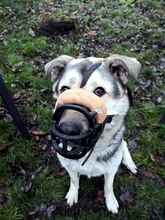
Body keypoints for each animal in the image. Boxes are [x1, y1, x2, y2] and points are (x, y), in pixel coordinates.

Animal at [44, 53, 141, 213]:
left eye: (99, 91)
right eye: (64, 89)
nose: (67, 130)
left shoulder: (111, 170)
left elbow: (108, 187)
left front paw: (111, 201)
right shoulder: (69, 167)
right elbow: (74, 180)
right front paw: (73, 194)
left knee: (124, 144)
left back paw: (129, 162)